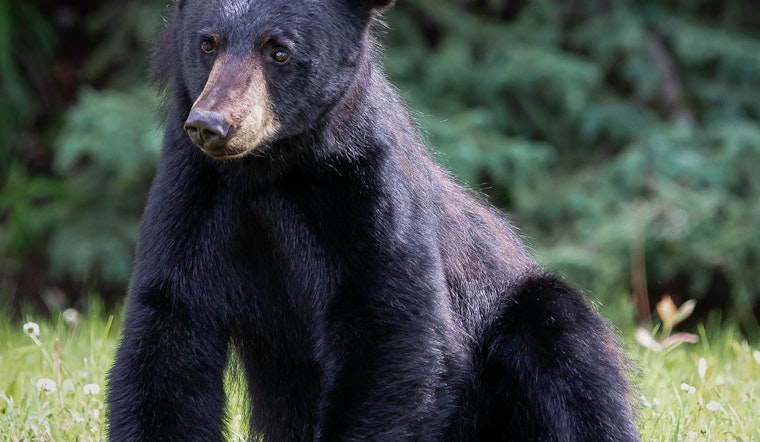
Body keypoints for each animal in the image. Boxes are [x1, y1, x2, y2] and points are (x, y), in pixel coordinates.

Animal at [106, 0, 640, 440]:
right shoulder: (192, 195)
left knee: (567, 350)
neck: (269, 172)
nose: (211, 124)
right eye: (207, 42)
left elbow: (393, 328)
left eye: (279, 51)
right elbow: (169, 330)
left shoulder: (365, 189)